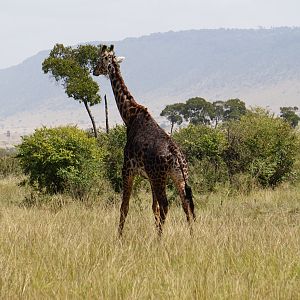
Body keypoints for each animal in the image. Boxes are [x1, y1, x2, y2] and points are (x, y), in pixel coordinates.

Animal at [94, 45, 197, 237]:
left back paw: (159, 239)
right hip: (178, 176)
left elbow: (124, 207)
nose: (94, 71)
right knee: (186, 204)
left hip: (160, 177)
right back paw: (192, 235)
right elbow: (153, 208)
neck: (130, 116)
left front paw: (119, 237)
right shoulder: (148, 177)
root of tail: (176, 154)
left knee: (166, 205)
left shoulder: (128, 169)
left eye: (101, 59)